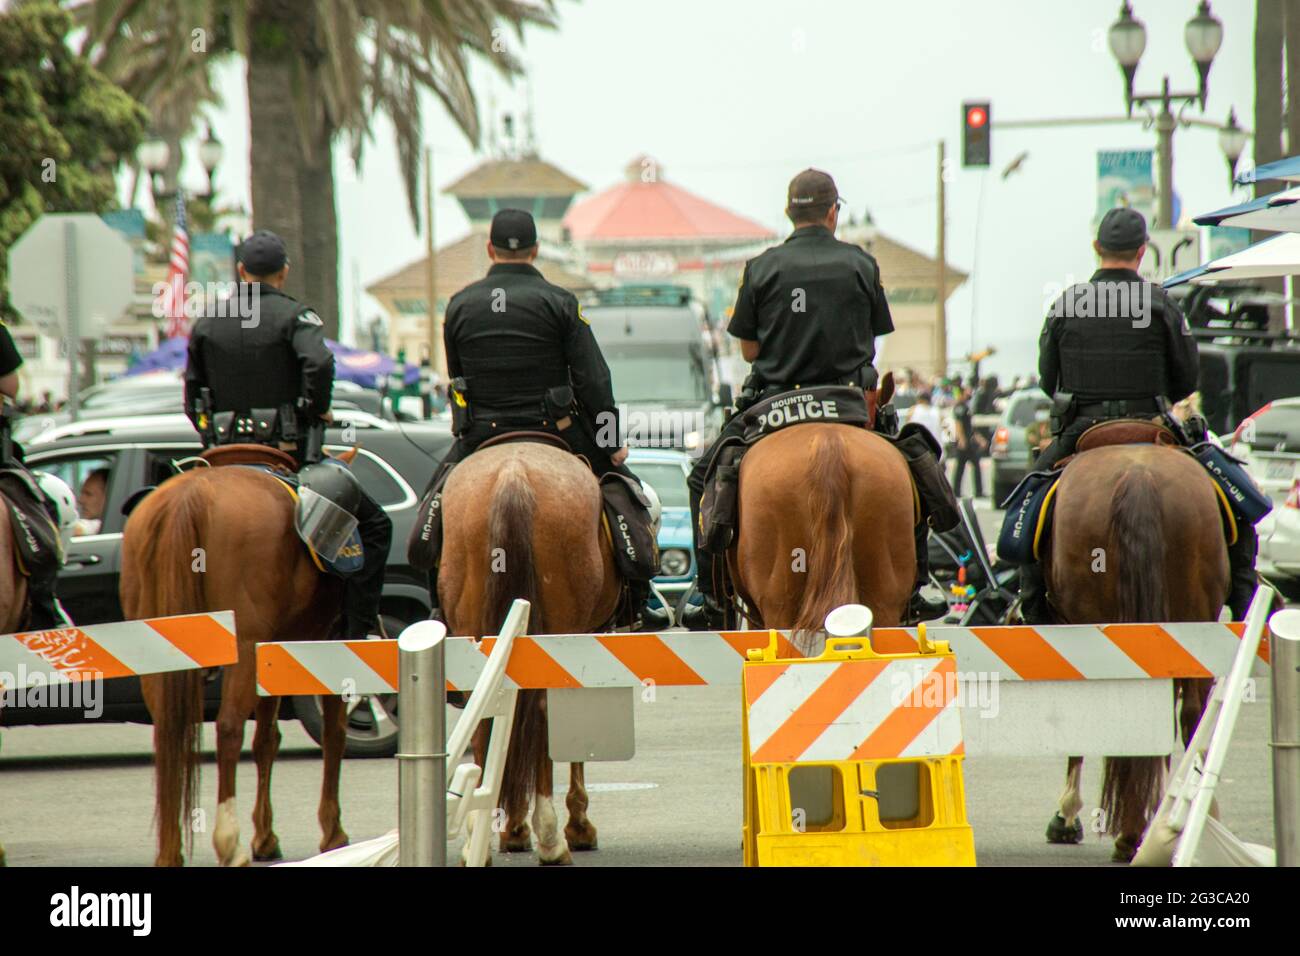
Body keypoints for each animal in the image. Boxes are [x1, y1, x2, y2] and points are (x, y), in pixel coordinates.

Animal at [121, 460, 353, 868]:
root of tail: (190, 494)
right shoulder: (324, 646)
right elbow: (332, 734)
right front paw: (332, 831)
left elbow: (267, 741)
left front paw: (266, 835)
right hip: (243, 650)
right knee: (229, 728)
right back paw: (229, 842)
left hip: (159, 654)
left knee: (167, 732)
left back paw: (170, 850)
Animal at [436, 442, 618, 868]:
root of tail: (513, 472)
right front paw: (576, 824)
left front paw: (511, 824)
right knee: (542, 709)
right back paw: (551, 836)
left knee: (485, 713)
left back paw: (478, 840)